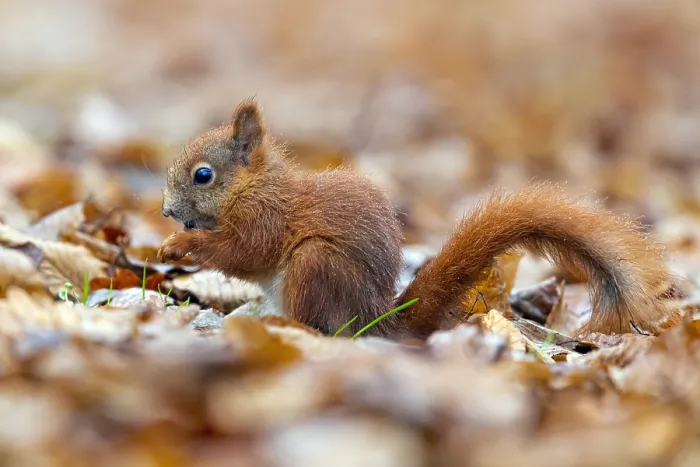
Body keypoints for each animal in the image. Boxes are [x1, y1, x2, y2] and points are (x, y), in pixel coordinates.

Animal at [157, 99, 673, 339]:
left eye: (203, 175)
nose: (166, 211)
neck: (254, 188)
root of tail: (373, 318)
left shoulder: (266, 220)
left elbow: (245, 253)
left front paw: (181, 246)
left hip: (315, 264)